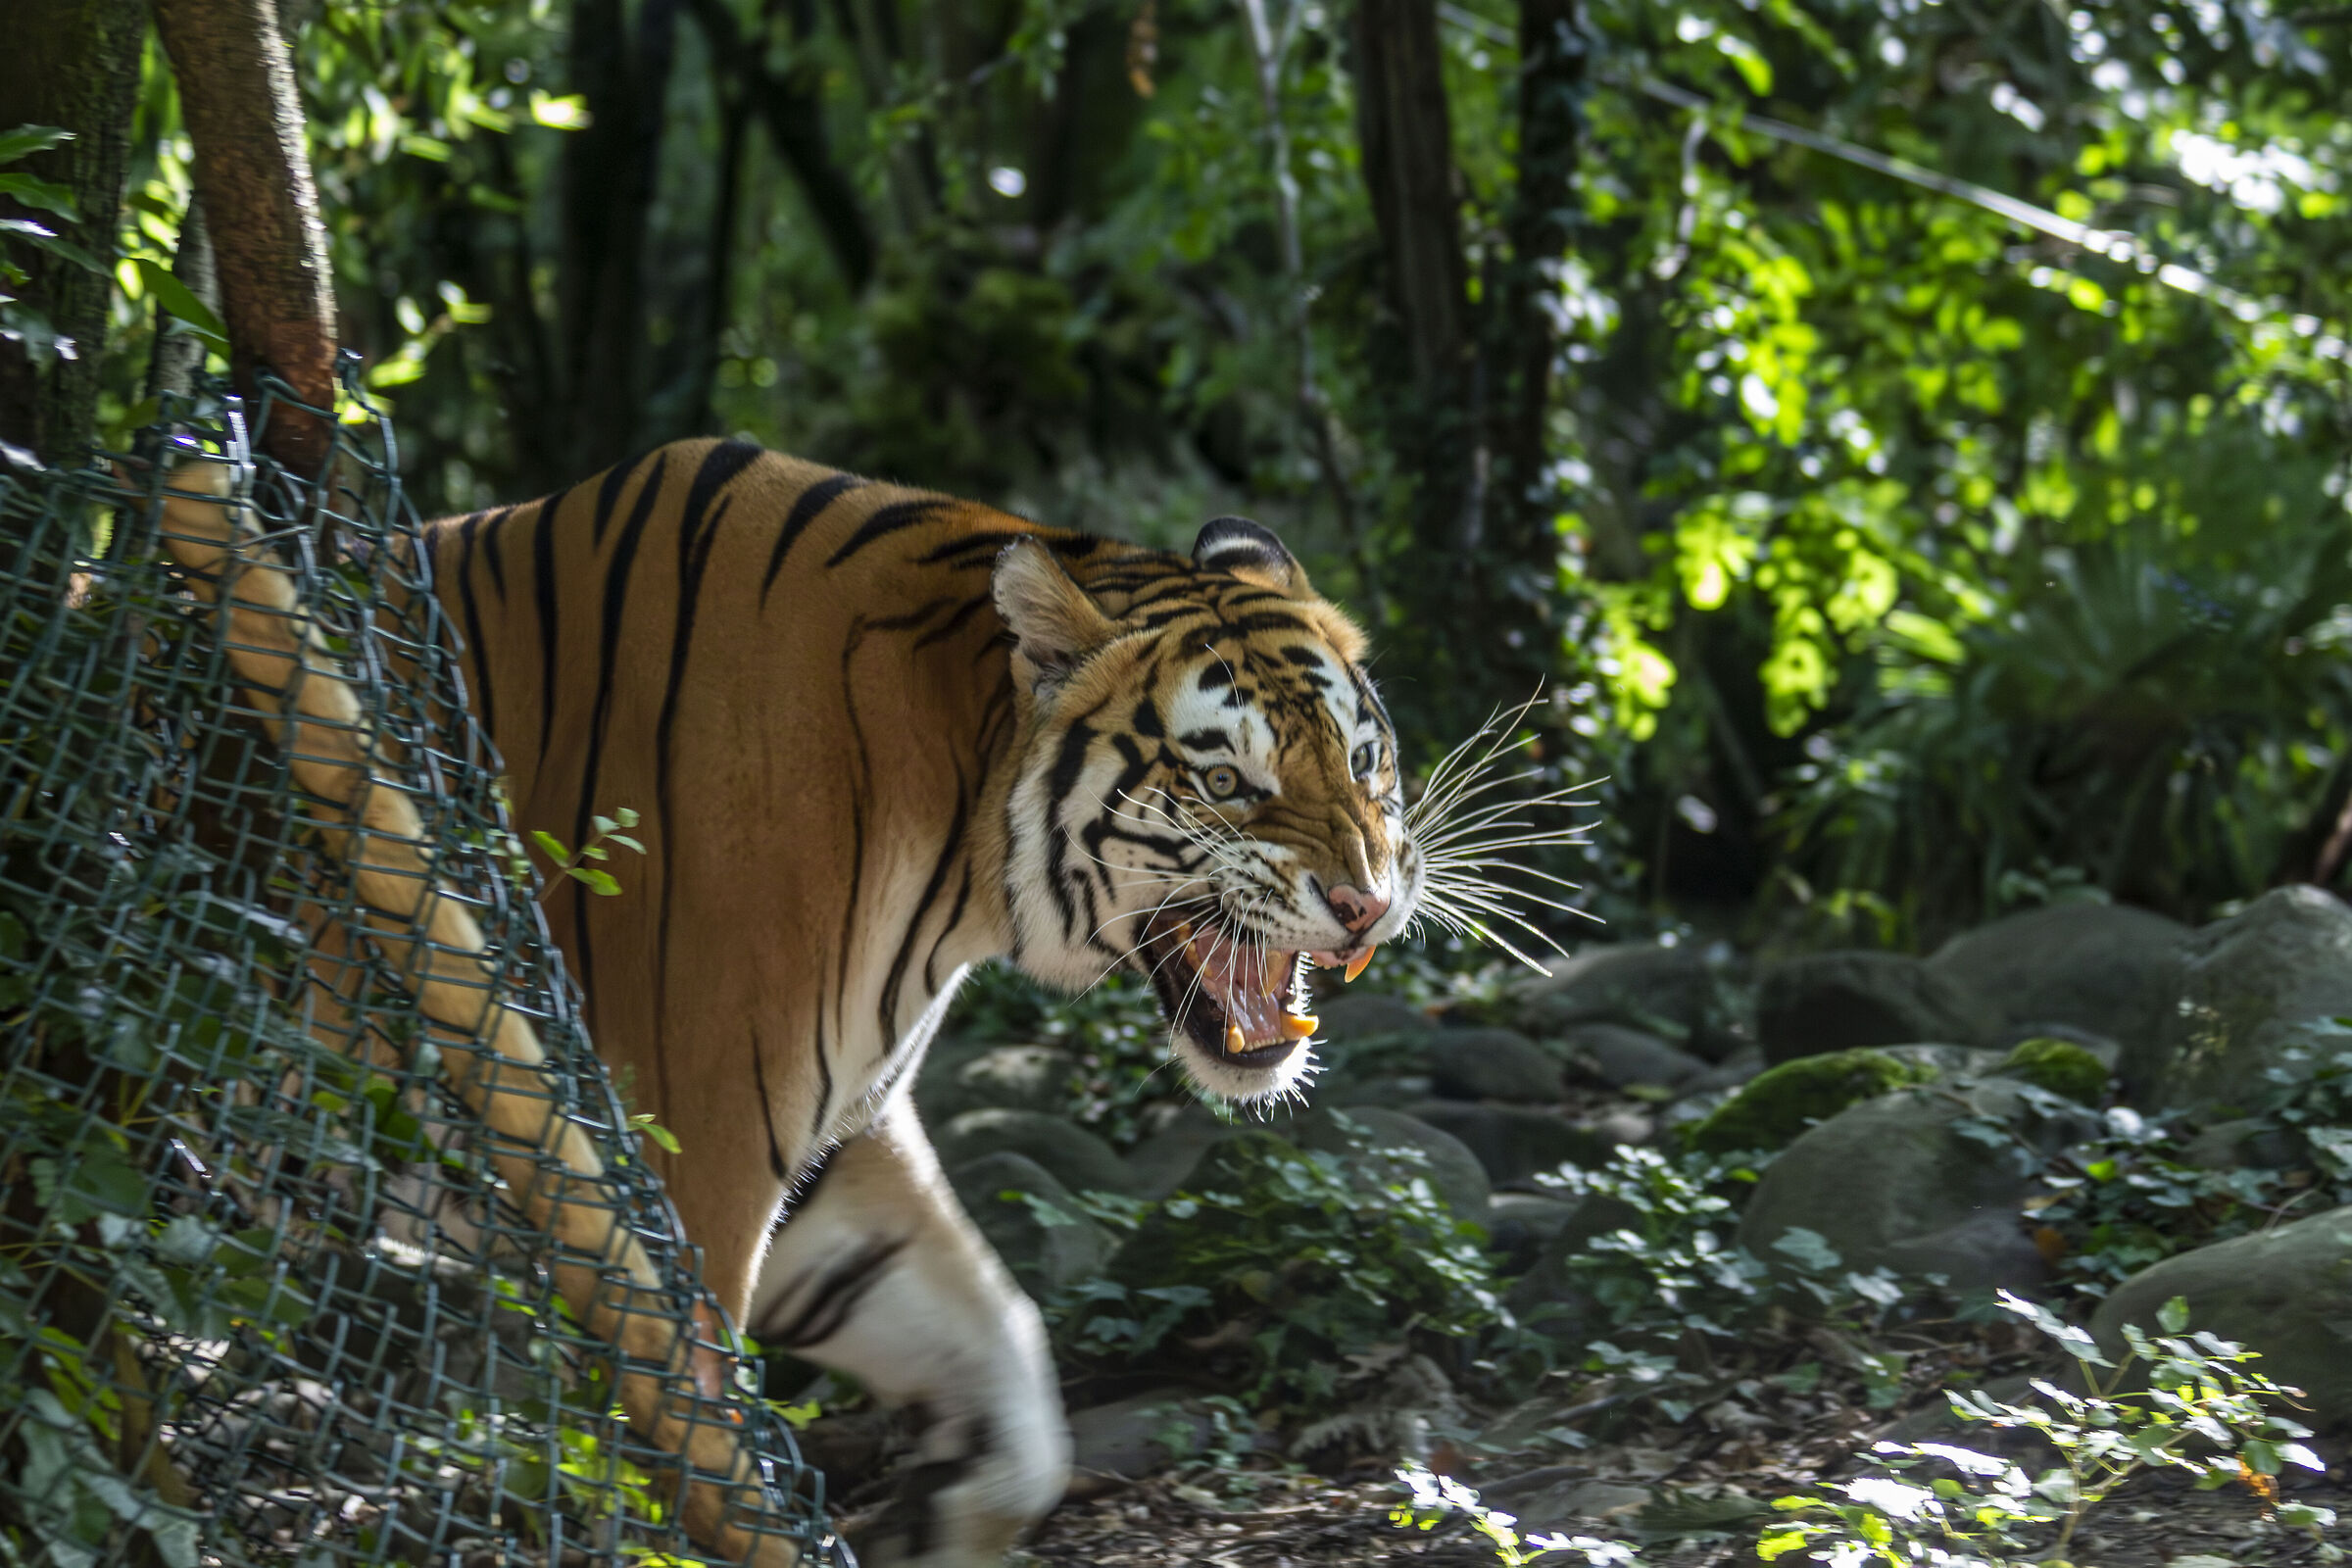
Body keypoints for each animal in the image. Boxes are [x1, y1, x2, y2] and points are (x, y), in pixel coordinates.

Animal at [424, 437, 1421, 1566]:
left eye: (1364, 759)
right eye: (1223, 782)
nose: (1367, 902)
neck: (957, 850)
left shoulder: (837, 1136)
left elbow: (1006, 1367)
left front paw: (929, 1519)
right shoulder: (689, 1160)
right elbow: (686, 1454)